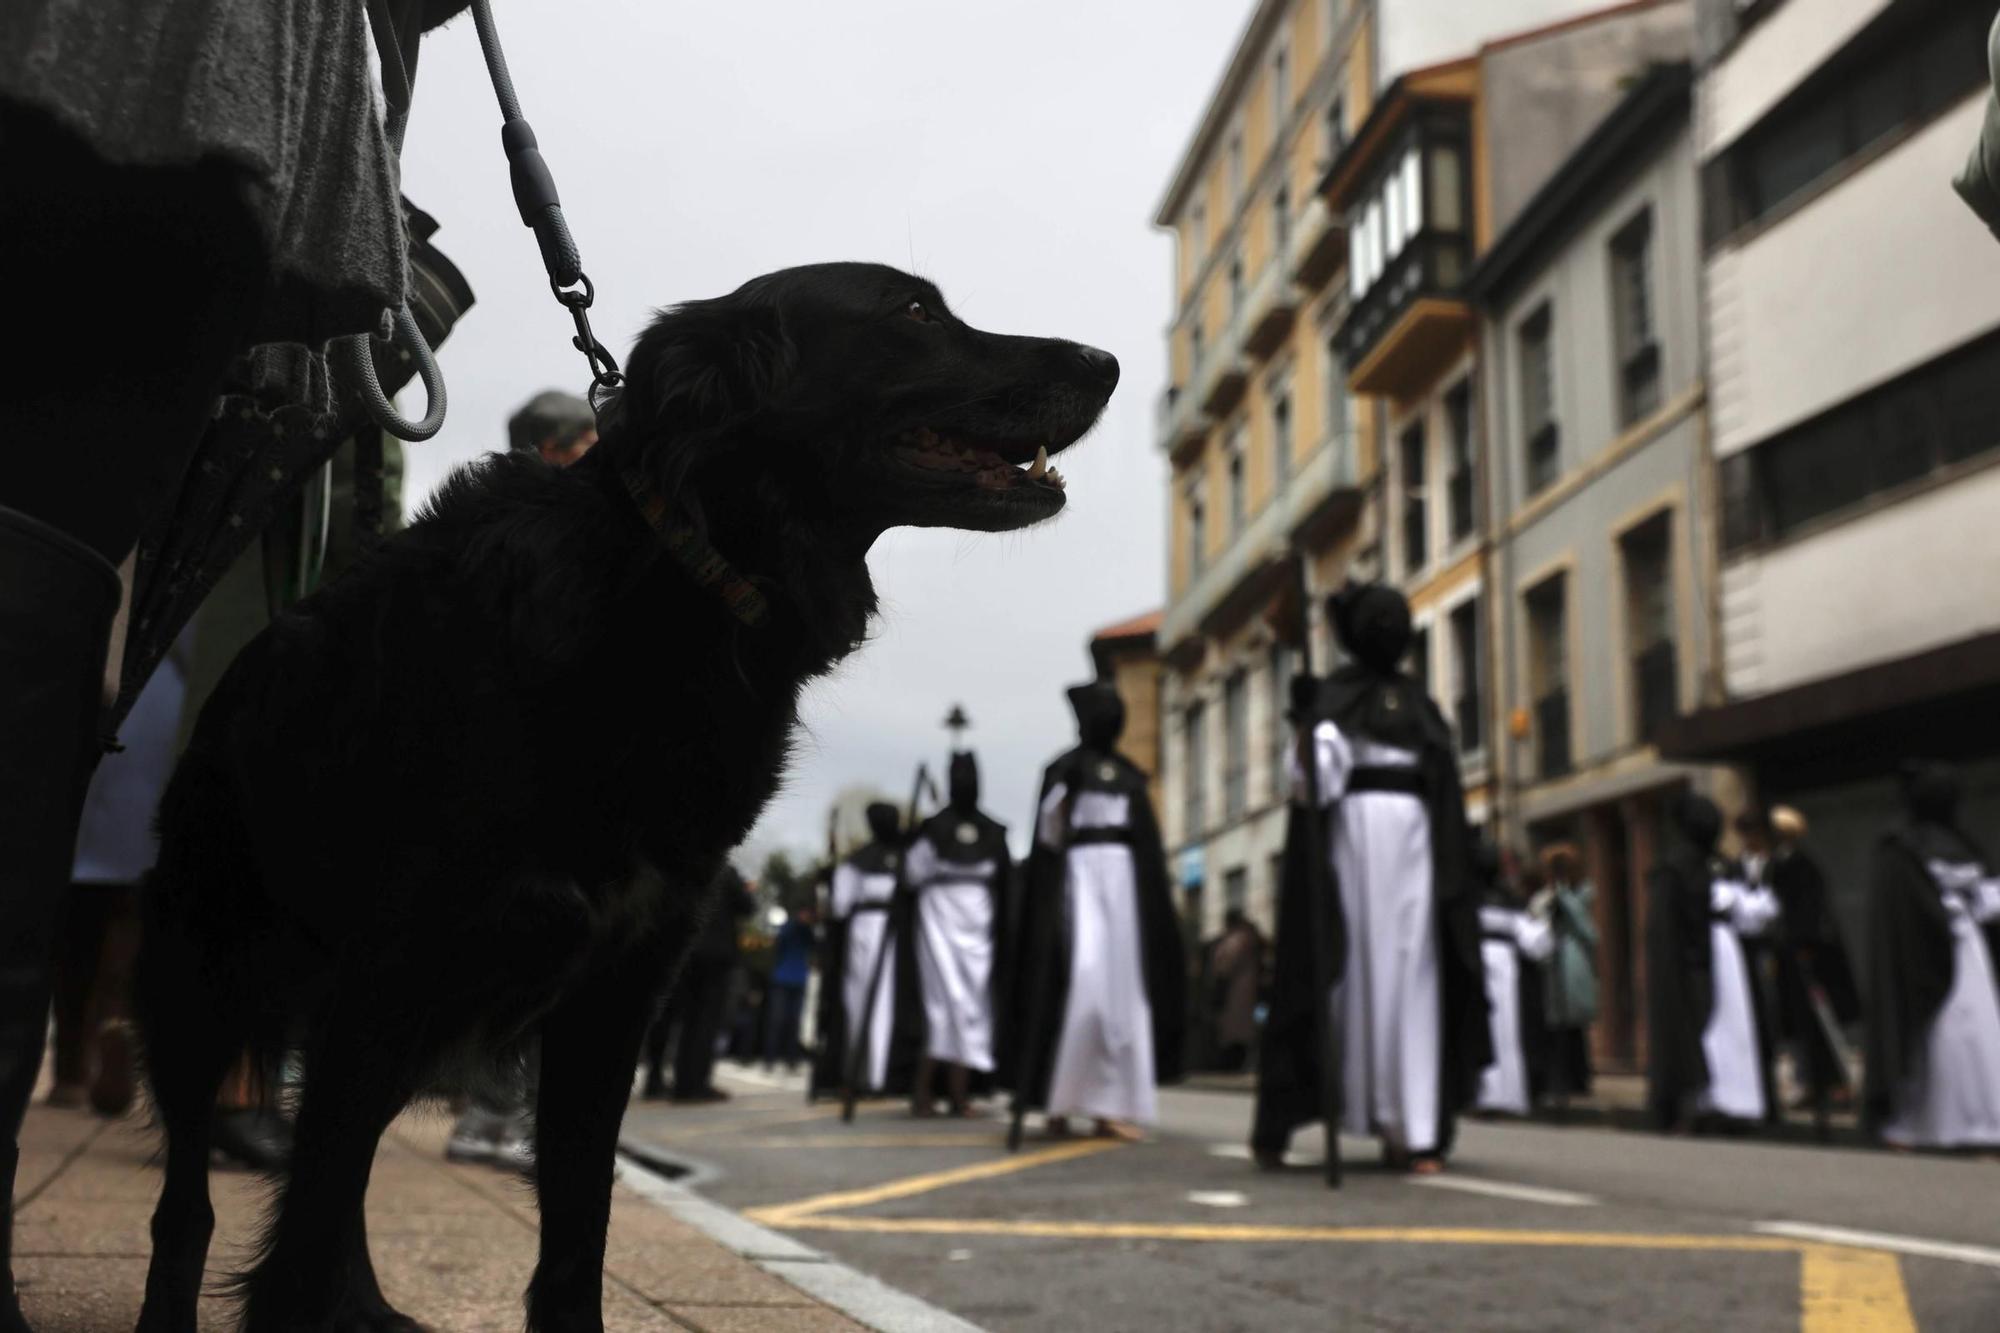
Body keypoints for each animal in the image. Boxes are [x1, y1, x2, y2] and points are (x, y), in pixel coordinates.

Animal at [133, 262, 1120, 1328]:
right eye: (913, 311)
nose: (1108, 361)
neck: (687, 578)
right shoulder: (395, 970)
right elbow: (302, 1235)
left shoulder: (613, 988)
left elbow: (576, 1229)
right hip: (207, 977)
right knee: (194, 1199)